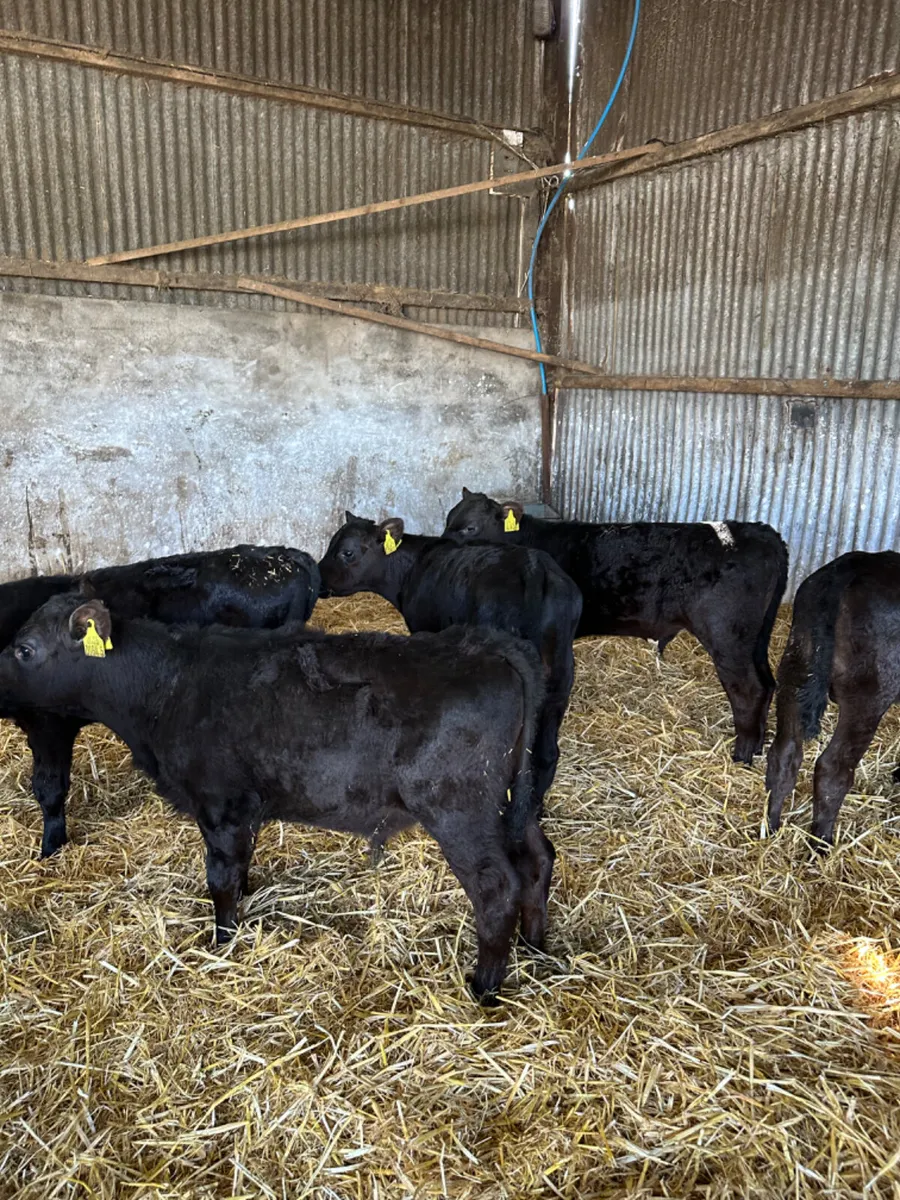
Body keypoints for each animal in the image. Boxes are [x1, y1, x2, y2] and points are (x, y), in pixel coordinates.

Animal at [0, 593, 554, 1005]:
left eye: (25, 649)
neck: (166, 686)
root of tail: (487, 645)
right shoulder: (243, 809)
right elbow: (240, 866)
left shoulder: (219, 804)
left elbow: (220, 877)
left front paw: (222, 941)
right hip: (512, 804)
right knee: (538, 860)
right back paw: (535, 946)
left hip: (459, 812)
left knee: (497, 887)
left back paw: (484, 987)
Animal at [318, 513, 583, 812]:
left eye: (347, 552)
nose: (317, 579)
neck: (410, 570)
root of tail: (533, 567)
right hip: (560, 676)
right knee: (546, 754)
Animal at [443, 489, 788, 763]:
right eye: (448, 519)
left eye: (470, 527)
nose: (440, 548)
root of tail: (760, 533)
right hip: (755, 637)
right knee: (767, 683)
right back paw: (757, 745)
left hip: (727, 636)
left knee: (749, 689)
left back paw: (743, 753)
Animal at [766, 551, 900, 848]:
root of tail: (851, 567)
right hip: (869, 695)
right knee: (832, 768)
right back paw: (821, 843)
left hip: (796, 667)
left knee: (785, 752)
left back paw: (771, 826)